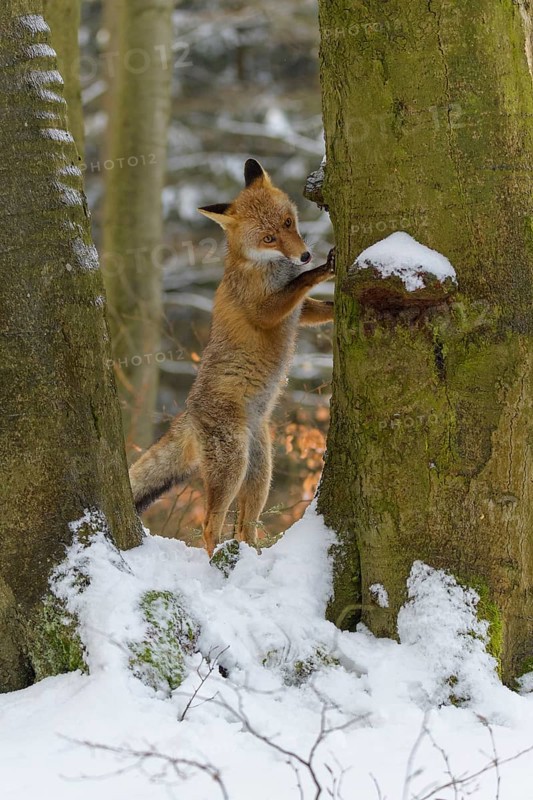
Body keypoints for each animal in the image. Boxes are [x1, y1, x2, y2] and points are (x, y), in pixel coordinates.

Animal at [129, 158, 335, 556]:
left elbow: (317, 308)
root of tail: (188, 413)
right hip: (232, 467)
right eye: (268, 238)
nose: (305, 255)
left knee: (244, 526)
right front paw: (321, 270)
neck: (262, 265)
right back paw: (216, 563)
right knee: (211, 525)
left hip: (260, 470)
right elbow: (298, 287)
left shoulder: (298, 314)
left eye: (288, 223)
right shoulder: (266, 311)